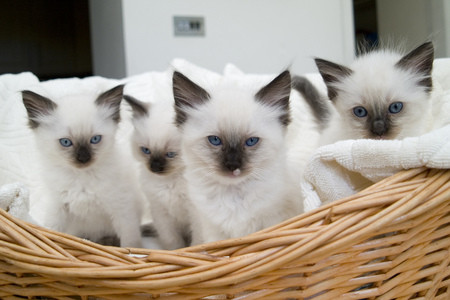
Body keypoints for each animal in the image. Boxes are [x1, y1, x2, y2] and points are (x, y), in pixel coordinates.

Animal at [21, 85, 142, 247]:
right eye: (66, 142)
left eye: (95, 139)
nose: (83, 158)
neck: (81, 178)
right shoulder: (58, 205)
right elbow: (52, 230)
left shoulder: (122, 208)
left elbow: (130, 242)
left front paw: (133, 252)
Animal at [124, 92, 191, 251]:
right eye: (146, 150)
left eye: (171, 154)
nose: (154, 167)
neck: (170, 181)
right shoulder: (161, 213)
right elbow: (172, 242)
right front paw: (175, 252)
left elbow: (198, 241)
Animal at [172, 71, 302, 246]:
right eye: (215, 140)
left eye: (251, 141)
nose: (232, 165)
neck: (233, 196)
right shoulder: (213, 232)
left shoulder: (273, 222)